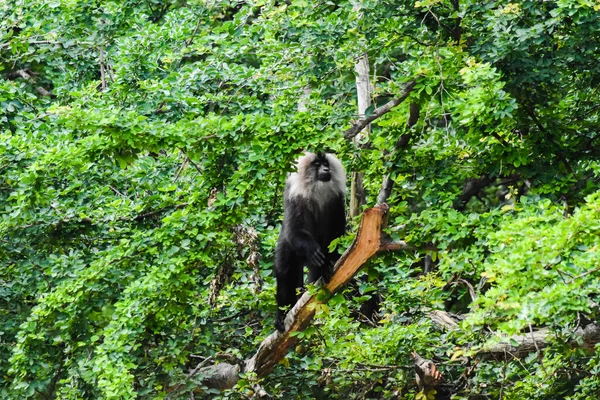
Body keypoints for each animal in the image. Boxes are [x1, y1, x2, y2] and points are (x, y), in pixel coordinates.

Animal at [274, 152, 346, 332]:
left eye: (326, 163)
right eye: (317, 164)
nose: (326, 169)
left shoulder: (336, 200)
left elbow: (336, 234)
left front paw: (329, 263)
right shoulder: (295, 197)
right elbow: (295, 230)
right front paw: (312, 249)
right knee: (286, 273)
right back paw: (281, 316)